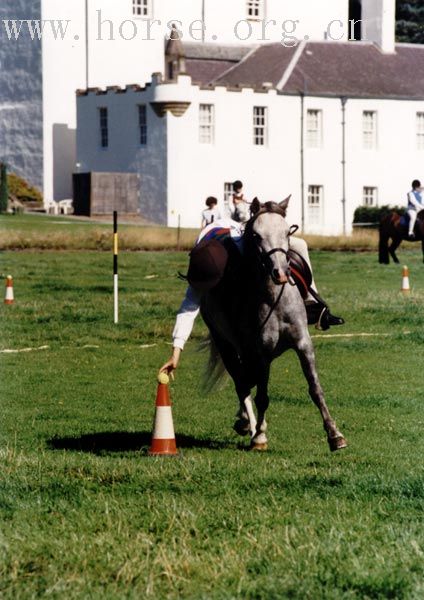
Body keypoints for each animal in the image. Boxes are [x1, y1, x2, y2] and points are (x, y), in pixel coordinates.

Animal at [200, 199, 346, 452]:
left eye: (286, 232)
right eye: (257, 235)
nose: (280, 272)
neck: (275, 299)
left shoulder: (303, 344)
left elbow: (315, 389)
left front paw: (334, 435)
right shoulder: (262, 353)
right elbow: (261, 395)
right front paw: (259, 436)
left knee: (246, 379)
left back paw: (244, 421)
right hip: (225, 343)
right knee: (242, 382)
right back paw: (249, 425)